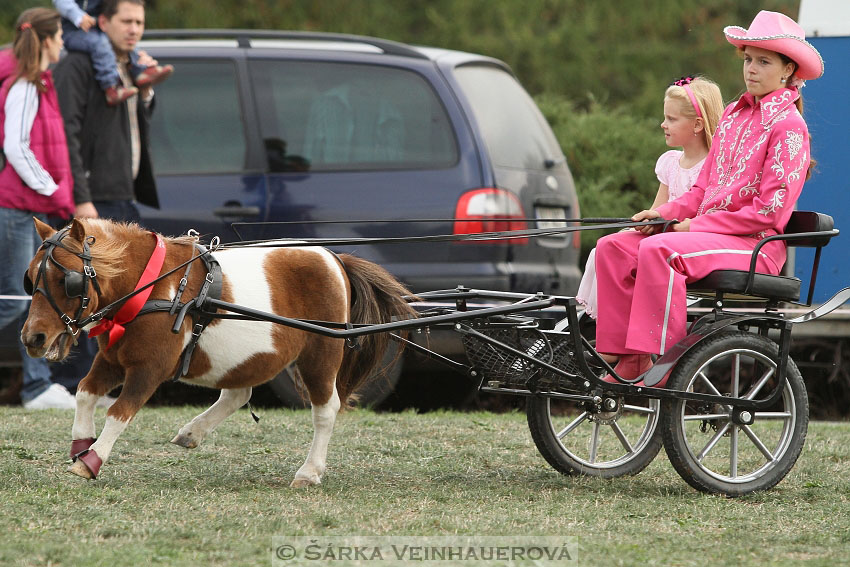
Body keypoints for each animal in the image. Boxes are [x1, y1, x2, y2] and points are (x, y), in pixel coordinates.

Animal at [21, 220, 416, 486]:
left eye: (68, 280)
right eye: (30, 279)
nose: (33, 338)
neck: (153, 284)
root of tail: (334, 258)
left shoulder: (149, 368)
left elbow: (120, 412)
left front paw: (92, 460)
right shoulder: (113, 359)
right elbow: (85, 392)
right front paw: (81, 443)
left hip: (321, 352)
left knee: (325, 410)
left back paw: (309, 471)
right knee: (238, 393)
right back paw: (193, 431)